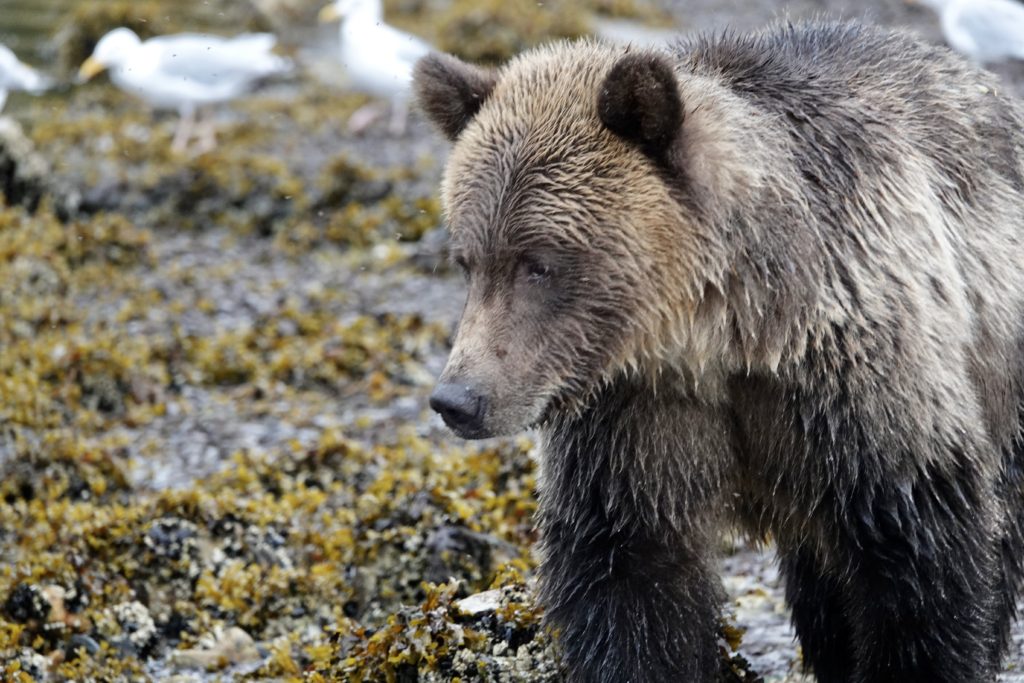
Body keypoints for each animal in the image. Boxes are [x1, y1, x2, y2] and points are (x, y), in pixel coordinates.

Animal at [413, 19, 1024, 683]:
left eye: (539, 263)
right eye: (468, 260)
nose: (457, 399)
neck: (722, 335)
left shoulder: (854, 384)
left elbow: (918, 560)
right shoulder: (635, 420)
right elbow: (630, 574)